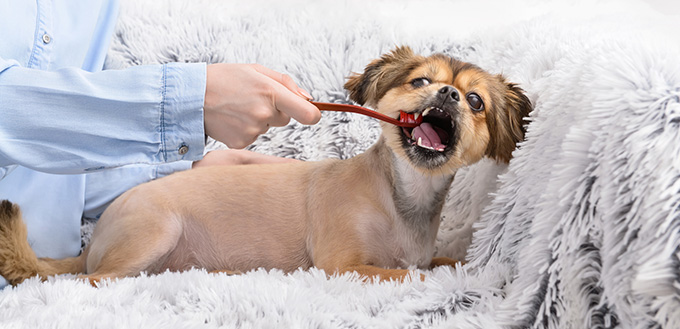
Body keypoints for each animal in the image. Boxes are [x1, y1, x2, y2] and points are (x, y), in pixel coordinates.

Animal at [0, 46, 532, 284]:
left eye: (475, 101)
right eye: (421, 80)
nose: (448, 95)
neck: (402, 197)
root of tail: (94, 242)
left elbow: (441, 262)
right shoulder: (343, 265)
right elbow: (409, 274)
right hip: (152, 234)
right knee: (88, 281)